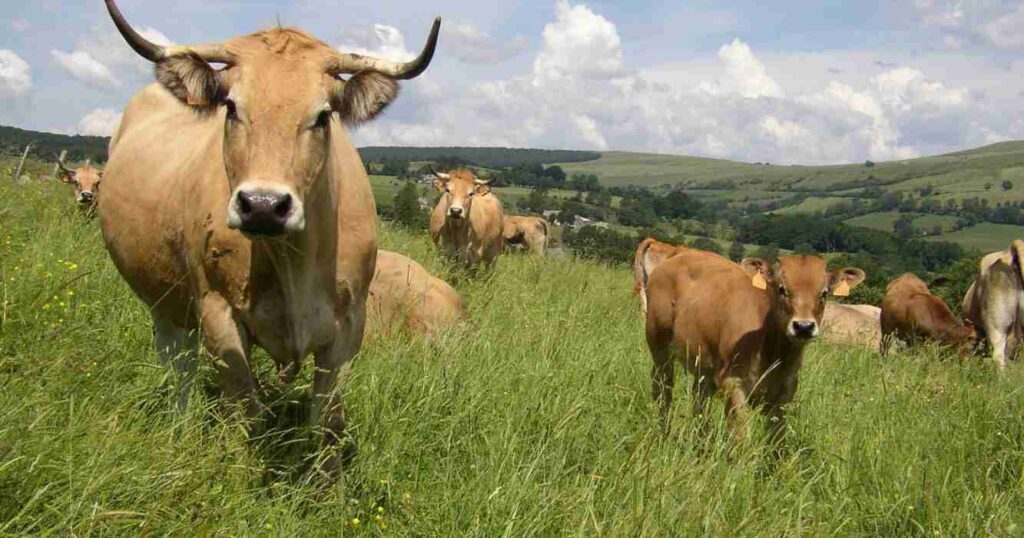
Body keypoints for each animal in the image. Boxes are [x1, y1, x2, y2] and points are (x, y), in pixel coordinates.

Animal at [98, 0, 440, 477]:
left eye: (322, 116)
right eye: (231, 108)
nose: (262, 204)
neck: (294, 262)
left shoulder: (349, 329)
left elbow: (329, 421)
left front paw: (328, 490)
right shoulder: (218, 313)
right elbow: (245, 410)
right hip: (164, 299)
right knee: (178, 363)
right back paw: (180, 428)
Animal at [647, 250, 864, 442]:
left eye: (824, 293)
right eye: (781, 289)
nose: (803, 326)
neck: (774, 352)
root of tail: (678, 255)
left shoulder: (783, 395)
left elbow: (778, 443)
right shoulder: (734, 384)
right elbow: (741, 438)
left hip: (704, 365)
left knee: (700, 399)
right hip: (658, 345)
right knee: (663, 388)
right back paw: (663, 433)